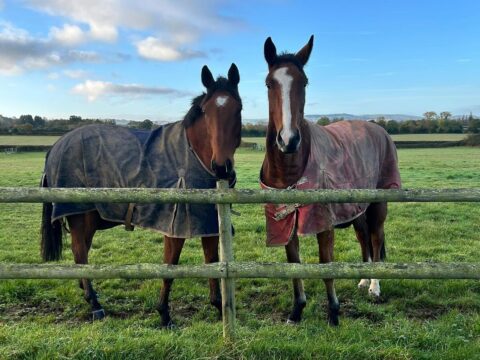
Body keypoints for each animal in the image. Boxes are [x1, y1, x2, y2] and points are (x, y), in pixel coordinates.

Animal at [40, 64, 244, 326]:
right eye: (206, 111)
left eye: (238, 108)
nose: (221, 167)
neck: (192, 154)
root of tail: (56, 146)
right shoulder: (175, 225)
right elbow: (170, 267)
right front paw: (164, 314)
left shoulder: (207, 222)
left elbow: (212, 263)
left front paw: (219, 308)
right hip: (79, 215)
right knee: (79, 252)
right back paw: (95, 305)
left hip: (89, 218)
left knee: (81, 253)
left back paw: (88, 294)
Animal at [260, 36, 400, 326]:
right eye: (270, 83)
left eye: (304, 82)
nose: (288, 140)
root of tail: (377, 128)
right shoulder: (285, 221)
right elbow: (294, 265)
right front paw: (297, 311)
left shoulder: (323, 222)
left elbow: (326, 264)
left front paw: (334, 313)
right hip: (357, 210)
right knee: (364, 239)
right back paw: (363, 280)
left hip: (378, 204)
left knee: (376, 238)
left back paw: (375, 287)